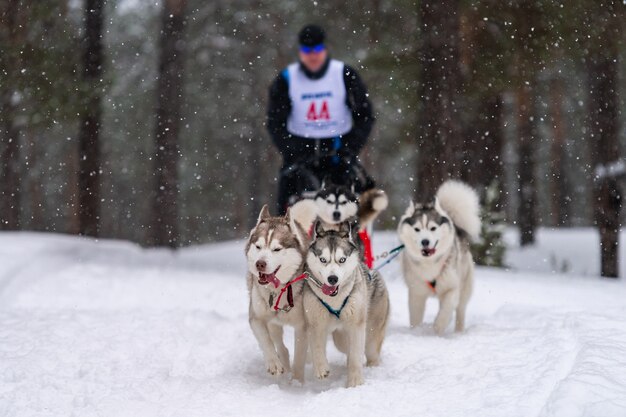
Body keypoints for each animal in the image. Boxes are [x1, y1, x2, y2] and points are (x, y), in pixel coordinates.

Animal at [246, 204, 310, 380]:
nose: (260, 264)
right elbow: (266, 341)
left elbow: (300, 357)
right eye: (258, 246)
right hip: (273, 322)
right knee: (281, 346)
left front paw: (297, 381)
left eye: (276, 249)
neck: (277, 291)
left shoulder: (302, 326)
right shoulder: (256, 317)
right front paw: (274, 363)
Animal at [302, 221, 386, 386]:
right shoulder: (315, 322)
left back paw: (372, 366)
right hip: (339, 336)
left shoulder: (356, 325)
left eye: (342, 260)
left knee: (369, 350)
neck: (334, 300)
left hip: (370, 334)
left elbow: (355, 355)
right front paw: (321, 368)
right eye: (323, 260)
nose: (332, 279)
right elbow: (316, 346)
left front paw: (355, 382)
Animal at [394, 180, 478, 334]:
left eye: (433, 228)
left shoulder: (452, 287)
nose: (425, 241)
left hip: (464, 285)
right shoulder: (416, 292)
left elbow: (447, 308)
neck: (430, 264)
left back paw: (459, 331)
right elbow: (415, 316)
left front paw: (438, 326)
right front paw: (415, 331)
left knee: (460, 310)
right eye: (417, 229)